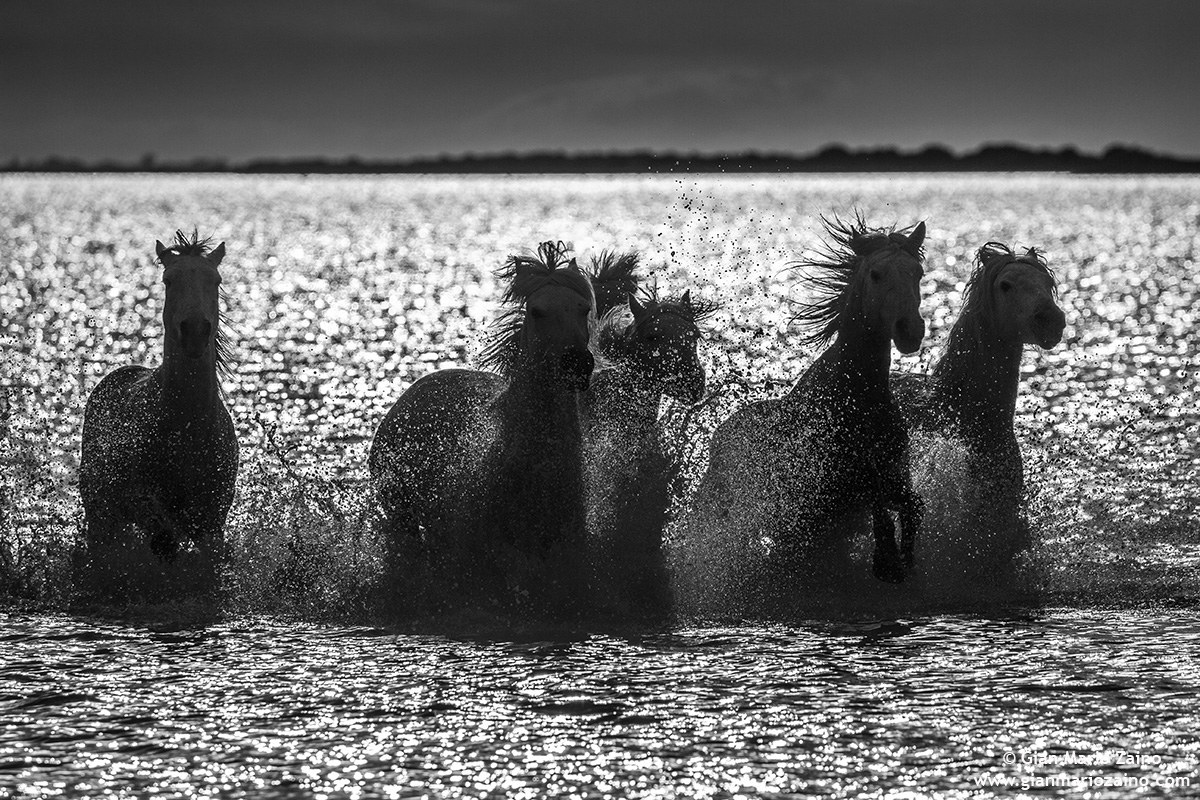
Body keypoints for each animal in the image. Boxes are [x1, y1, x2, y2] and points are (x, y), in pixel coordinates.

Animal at [78, 230, 238, 599]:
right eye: (168, 280)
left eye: (216, 280)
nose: (195, 331)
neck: (186, 427)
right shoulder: (154, 515)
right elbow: (166, 555)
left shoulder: (212, 520)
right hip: (100, 512)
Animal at [368, 241, 595, 614]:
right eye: (536, 310)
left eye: (583, 308)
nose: (576, 364)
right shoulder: (494, 555)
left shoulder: (562, 548)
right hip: (402, 516)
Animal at [676, 216, 927, 613]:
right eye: (876, 274)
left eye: (917, 272)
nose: (910, 331)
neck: (859, 397)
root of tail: (721, 435)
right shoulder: (837, 484)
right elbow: (877, 502)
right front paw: (887, 562)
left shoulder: (892, 476)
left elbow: (912, 505)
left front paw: (902, 561)